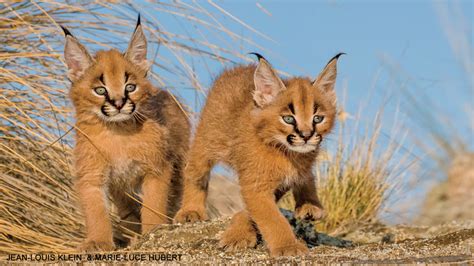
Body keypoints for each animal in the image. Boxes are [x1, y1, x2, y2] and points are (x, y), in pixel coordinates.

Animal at [62, 17, 190, 251]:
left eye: (130, 87)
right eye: (100, 90)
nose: (119, 103)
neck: (118, 133)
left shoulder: (157, 168)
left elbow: (154, 203)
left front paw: (153, 231)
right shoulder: (92, 174)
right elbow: (96, 211)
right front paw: (98, 241)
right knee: (126, 204)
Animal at [174, 53, 340, 256]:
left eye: (318, 118)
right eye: (288, 119)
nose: (306, 135)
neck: (288, 153)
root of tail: (241, 67)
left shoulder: (280, 181)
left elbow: (257, 211)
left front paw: (240, 232)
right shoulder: (256, 184)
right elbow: (272, 217)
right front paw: (288, 246)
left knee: (307, 175)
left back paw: (309, 204)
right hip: (208, 139)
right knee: (195, 170)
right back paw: (191, 210)